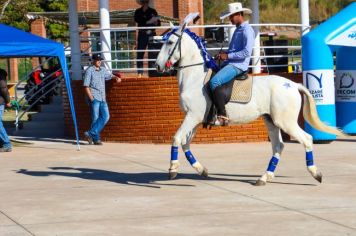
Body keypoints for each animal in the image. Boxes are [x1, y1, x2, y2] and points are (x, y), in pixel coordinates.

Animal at [154, 24, 344, 185]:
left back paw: (315, 173)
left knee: (306, 139)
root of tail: (293, 85)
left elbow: (176, 138)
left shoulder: (193, 117)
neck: (194, 78)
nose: (157, 65)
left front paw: (172, 169)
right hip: (271, 121)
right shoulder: (195, 119)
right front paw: (201, 170)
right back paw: (264, 178)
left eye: (169, 42)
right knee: (278, 146)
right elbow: (185, 143)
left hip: (286, 122)